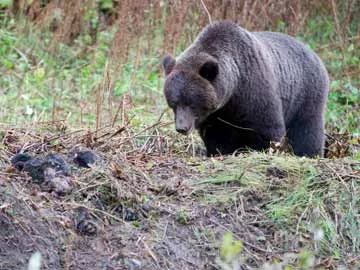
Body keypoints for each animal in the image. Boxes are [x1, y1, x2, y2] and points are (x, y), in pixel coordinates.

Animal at [162, 21, 330, 157]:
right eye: (174, 103)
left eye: (191, 103)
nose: (182, 128)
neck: (234, 89)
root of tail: (315, 55)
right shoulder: (217, 114)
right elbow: (217, 136)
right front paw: (219, 152)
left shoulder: (254, 89)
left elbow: (267, 128)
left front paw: (265, 149)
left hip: (306, 92)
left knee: (308, 129)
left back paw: (310, 153)